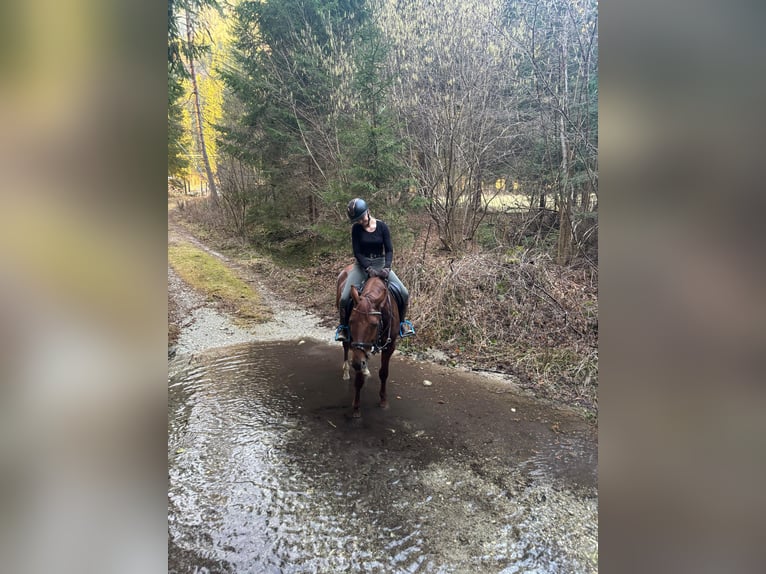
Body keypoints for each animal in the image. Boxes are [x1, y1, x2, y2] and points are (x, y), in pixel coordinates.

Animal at [336, 265, 400, 418]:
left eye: (374, 324)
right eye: (351, 321)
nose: (357, 364)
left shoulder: (390, 346)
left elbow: (384, 373)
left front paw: (383, 400)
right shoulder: (357, 347)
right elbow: (358, 379)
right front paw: (356, 407)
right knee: (346, 347)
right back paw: (347, 371)